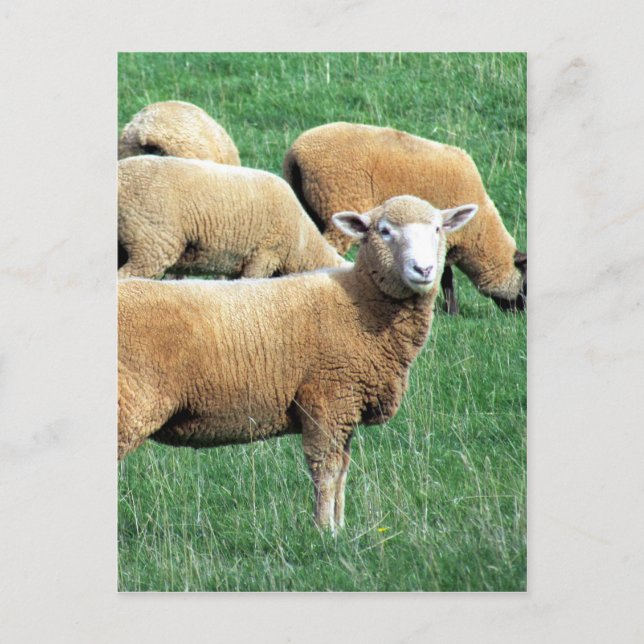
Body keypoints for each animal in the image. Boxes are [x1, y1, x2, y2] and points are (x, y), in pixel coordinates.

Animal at [118, 195, 478, 532]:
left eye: (437, 229)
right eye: (385, 231)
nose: (424, 271)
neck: (359, 302)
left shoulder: (347, 407)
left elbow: (343, 470)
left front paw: (340, 527)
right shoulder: (328, 401)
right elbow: (326, 470)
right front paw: (323, 531)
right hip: (130, 404)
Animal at [283, 122, 527, 314]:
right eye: (525, 281)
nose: (520, 314)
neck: (481, 230)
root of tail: (297, 154)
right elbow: (446, 276)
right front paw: (452, 311)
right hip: (338, 205)